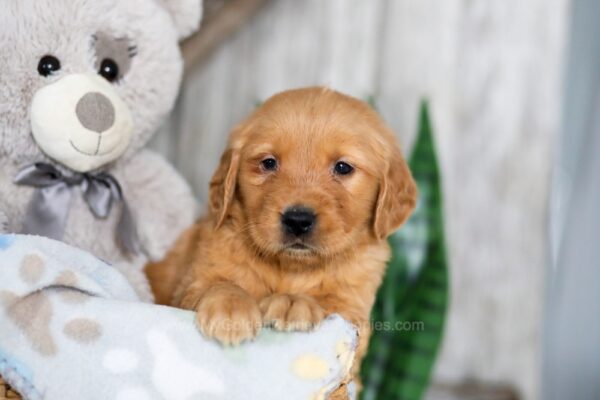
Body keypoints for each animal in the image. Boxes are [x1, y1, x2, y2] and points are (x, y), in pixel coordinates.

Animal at [146, 86, 418, 390]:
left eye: (343, 167)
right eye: (268, 163)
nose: (298, 220)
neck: (290, 268)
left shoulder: (353, 312)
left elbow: (330, 303)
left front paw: (292, 302)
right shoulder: (192, 281)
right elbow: (217, 283)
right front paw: (231, 309)